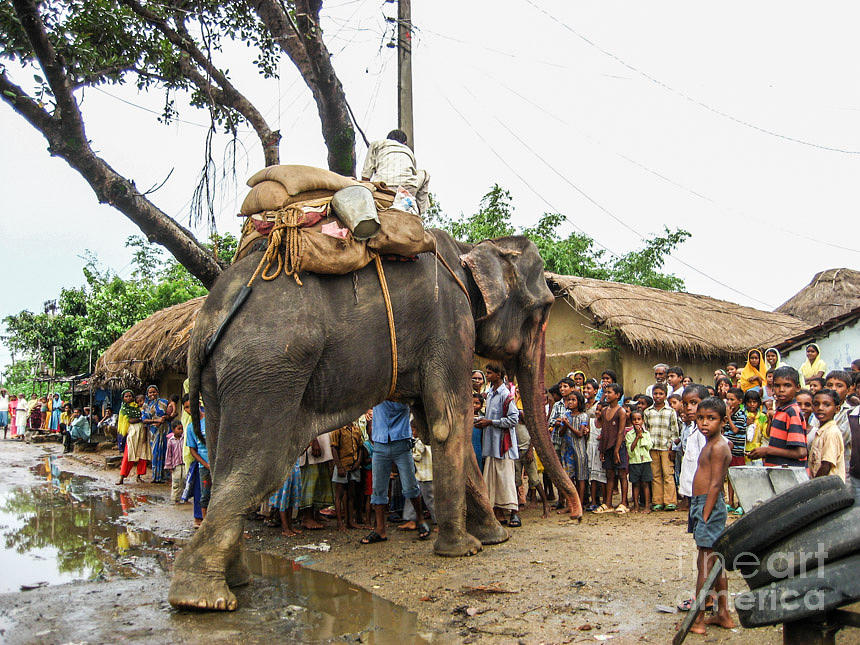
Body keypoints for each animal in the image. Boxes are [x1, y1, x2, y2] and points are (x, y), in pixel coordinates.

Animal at [166, 230, 584, 608]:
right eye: (542, 313)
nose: (576, 515)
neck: (469, 249)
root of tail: (204, 323)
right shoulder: (450, 324)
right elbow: (451, 422)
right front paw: (465, 550)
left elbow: (436, 427)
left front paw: (493, 538)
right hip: (268, 373)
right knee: (259, 468)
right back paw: (202, 598)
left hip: (223, 386)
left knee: (224, 461)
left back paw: (234, 582)